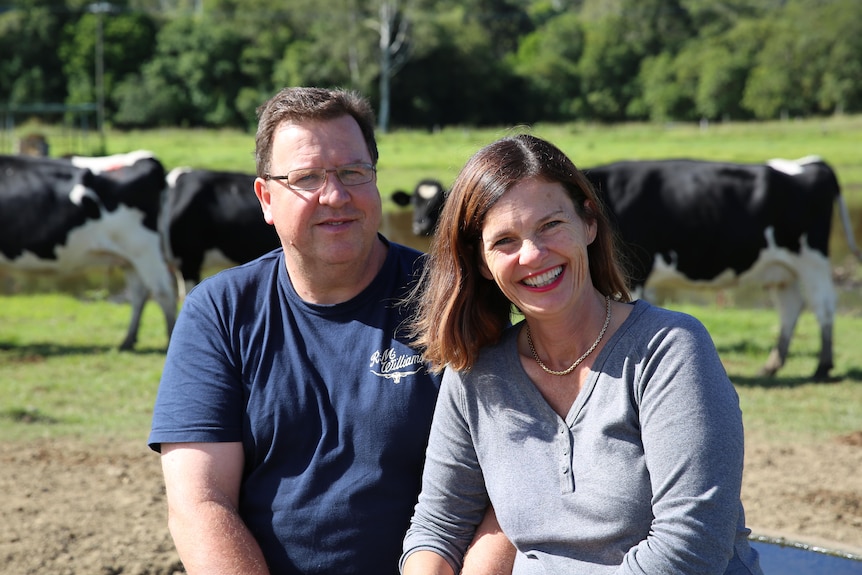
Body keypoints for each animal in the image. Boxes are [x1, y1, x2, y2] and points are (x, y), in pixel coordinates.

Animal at [1, 153, 177, 348]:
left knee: (163, 291)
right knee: (139, 292)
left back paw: (168, 337)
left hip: (142, 248)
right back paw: (128, 340)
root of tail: (147, 158)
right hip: (130, 258)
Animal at [398, 159, 862, 382]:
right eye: (416, 200)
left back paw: (822, 365)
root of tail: (811, 165)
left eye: (436, 200)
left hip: (812, 258)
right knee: (790, 307)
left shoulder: (638, 270)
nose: (418, 225)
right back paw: (774, 363)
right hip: (782, 267)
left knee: (823, 304)